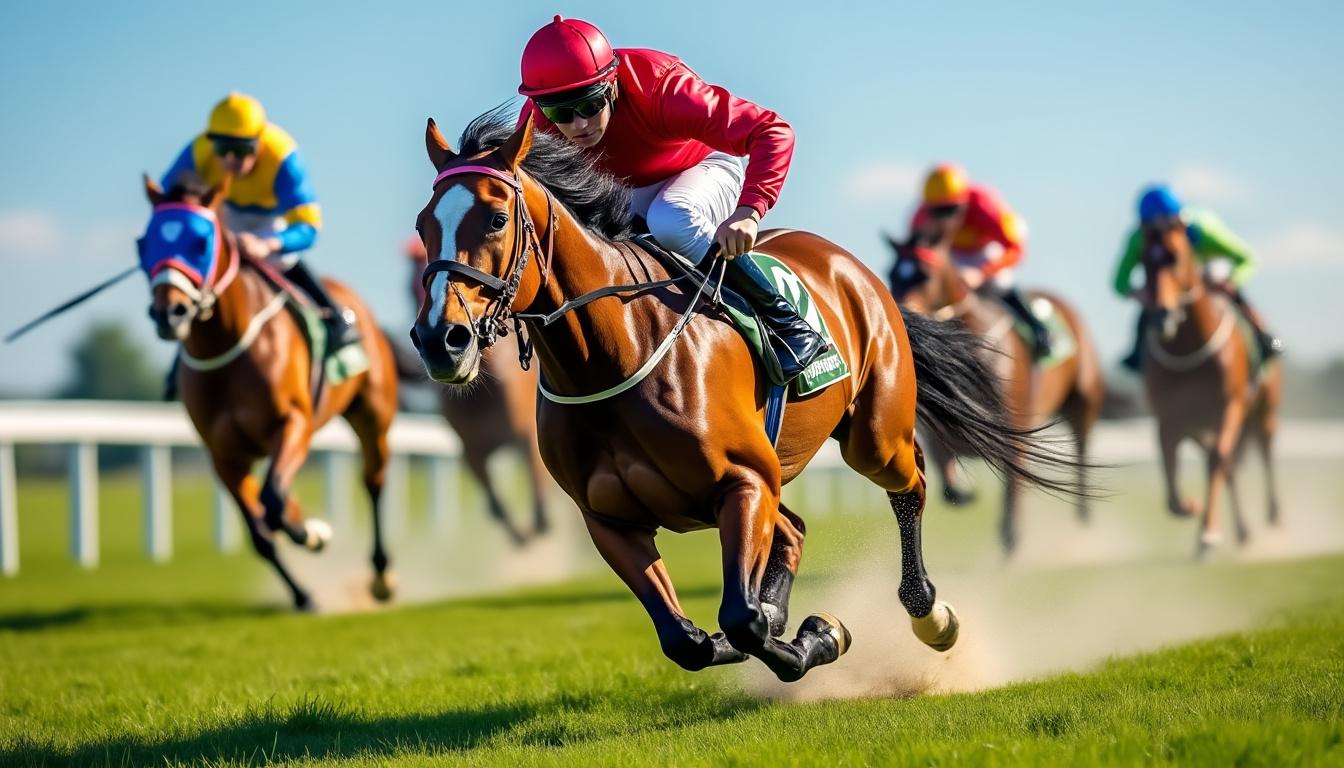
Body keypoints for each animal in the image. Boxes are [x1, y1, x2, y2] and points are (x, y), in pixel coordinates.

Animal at [139, 175, 399, 609]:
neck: (227, 345)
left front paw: (313, 535)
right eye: (144, 243)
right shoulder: (223, 455)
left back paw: (382, 577)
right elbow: (261, 533)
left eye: (201, 242)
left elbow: (273, 505)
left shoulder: (293, 422)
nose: (168, 314)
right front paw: (302, 594)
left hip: (372, 414)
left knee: (373, 481)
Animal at [399, 240, 551, 545]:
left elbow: (540, 504)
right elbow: (495, 507)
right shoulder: (471, 448)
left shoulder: (526, 435)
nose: (435, 345)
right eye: (409, 289)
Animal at [887, 237, 1104, 553]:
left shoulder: (1015, 429)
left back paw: (1083, 515)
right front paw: (963, 493)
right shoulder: (941, 427)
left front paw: (1010, 537)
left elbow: (1013, 487)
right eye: (891, 273)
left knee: (1082, 451)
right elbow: (945, 475)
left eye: (924, 275)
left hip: (1083, 403)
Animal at [1136, 220, 1282, 555]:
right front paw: (1190, 506)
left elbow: (1217, 460)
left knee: (1263, 450)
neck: (1188, 345)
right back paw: (1242, 531)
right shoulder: (1169, 419)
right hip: (1200, 429)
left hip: (1264, 408)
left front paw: (1207, 534)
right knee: (1228, 465)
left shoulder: (1229, 407)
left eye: (1175, 257)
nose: (1161, 314)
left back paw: (1273, 513)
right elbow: (1170, 475)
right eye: (1145, 261)